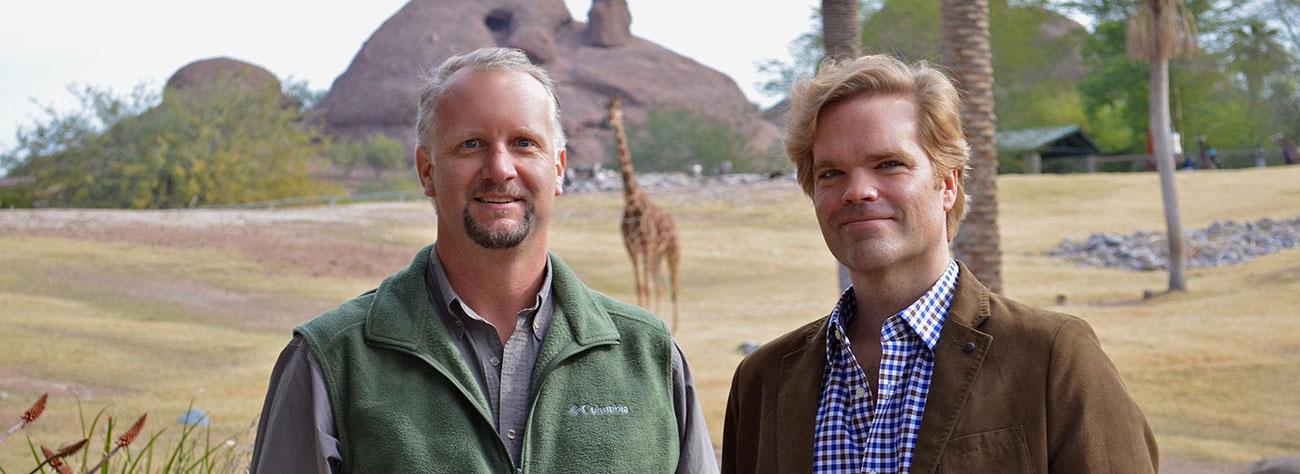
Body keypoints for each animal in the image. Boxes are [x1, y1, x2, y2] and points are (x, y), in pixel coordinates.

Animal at [608, 96, 686, 332]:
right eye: (606, 109)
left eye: (619, 110)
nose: (610, 121)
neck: (632, 201)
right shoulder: (630, 245)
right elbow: (640, 285)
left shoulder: (645, 244)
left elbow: (648, 286)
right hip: (657, 254)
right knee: (660, 284)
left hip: (672, 250)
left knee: (673, 286)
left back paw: (675, 326)